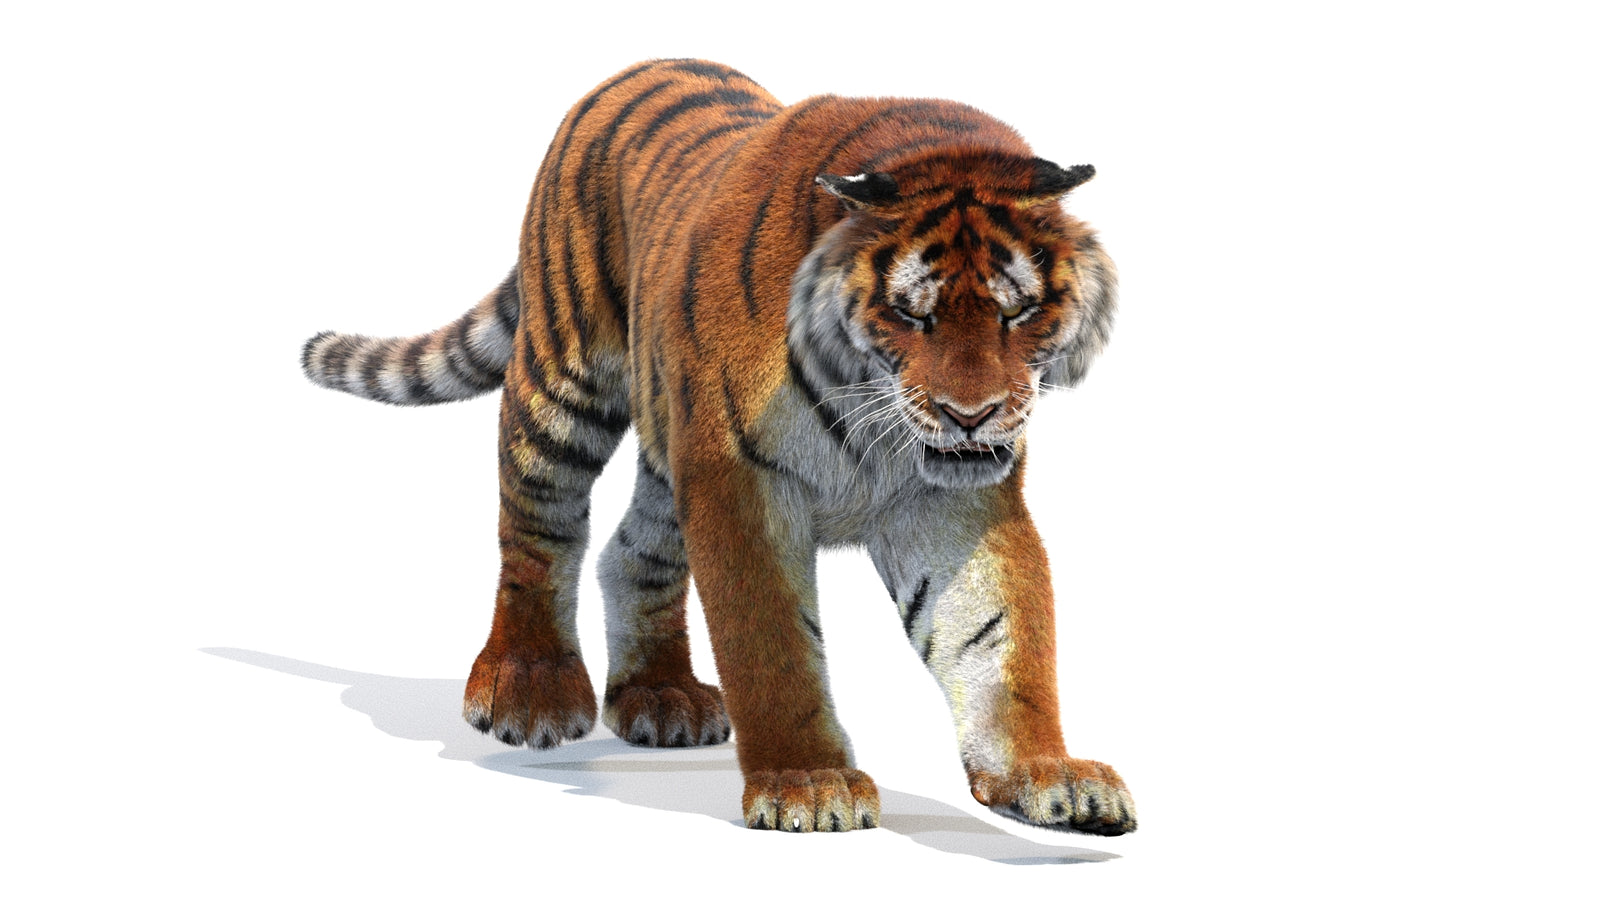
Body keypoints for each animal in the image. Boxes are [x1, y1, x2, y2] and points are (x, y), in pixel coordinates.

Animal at [301, 59, 1134, 836]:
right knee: (538, 529)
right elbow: (770, 643)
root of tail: (641, 65)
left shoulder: (952, 502)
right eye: (910, 314)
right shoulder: (740, 482)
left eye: (1016, 312)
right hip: (564, 381)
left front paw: (1048, 775)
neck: (875, 414)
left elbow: (1000, 641)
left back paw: (660, 697)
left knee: (631, 550)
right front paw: (808, 784)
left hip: (671, 450)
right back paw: (528, 691)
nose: (973, 415)